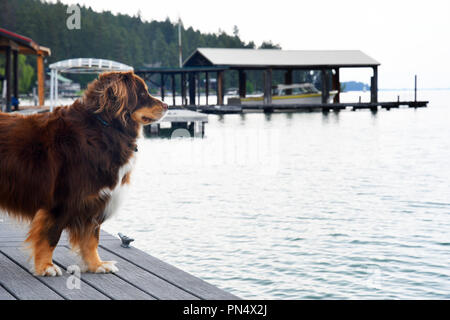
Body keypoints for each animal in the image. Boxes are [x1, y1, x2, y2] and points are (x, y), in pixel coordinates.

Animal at [0, 71, 167, 276]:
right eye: (142, 94)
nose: (167, 105)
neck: (105, 126)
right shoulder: (61, 200)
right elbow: (50, 236)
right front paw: (45, 266)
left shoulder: (94, 200)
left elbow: (91, 238)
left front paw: (97, 264)